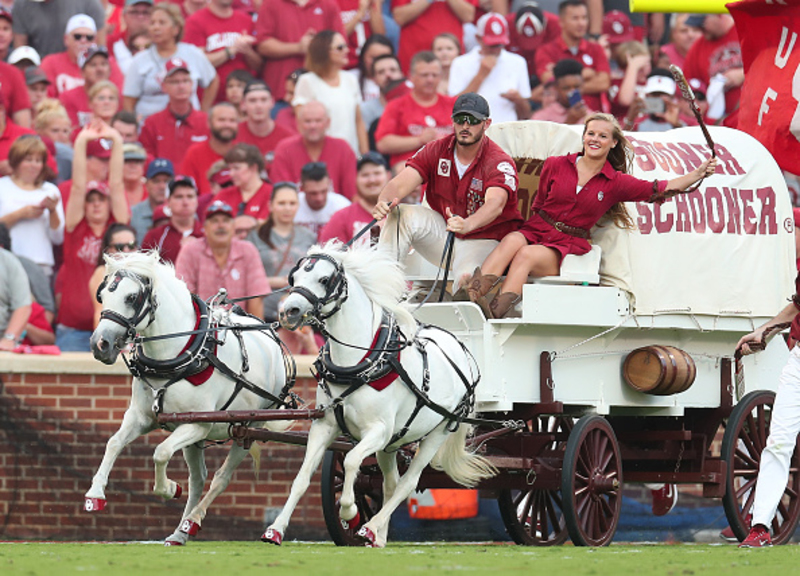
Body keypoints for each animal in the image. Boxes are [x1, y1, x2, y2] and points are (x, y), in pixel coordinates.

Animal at [88, 252, 294, 544]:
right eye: (102, 294)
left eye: (131, 297)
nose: (100, 344)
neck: (181, 354)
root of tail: (272, 336)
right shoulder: (141, 417)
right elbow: (114, 443)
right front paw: (95, 494)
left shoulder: (197, 424)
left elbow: (161, 452)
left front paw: (168, 488)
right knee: (198, 478)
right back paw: (179, 533)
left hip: (248, 427)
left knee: (220, 477)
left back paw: (192, 521)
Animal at [262, 241, 496, 548]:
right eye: (295, 277)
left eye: (324, 279)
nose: (288, 311)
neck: (360, 364)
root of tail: (459, 345)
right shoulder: (325, 426)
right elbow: (302, 477)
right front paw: (276, 529)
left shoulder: (378, 431)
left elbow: (351, 461)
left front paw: (350, 513)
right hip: (394, 441)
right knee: (391, 482)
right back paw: (379, 535)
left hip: (437, 432)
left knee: (408, 482)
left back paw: (371, 527)